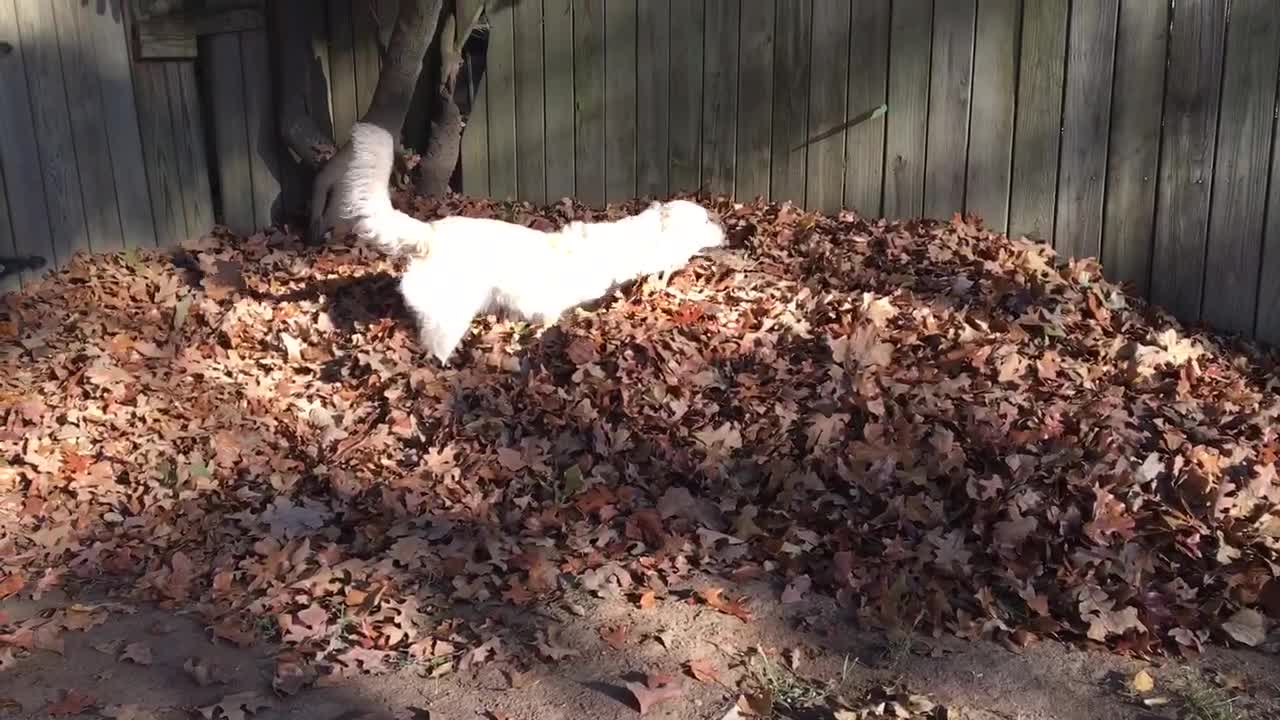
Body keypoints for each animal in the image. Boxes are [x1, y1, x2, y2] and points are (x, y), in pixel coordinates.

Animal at [335, 122, 727, 363]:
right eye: (705, 220)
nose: (725, 229)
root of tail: (428, 234)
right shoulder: (548, 307)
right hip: (450, 314)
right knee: (436, 347)